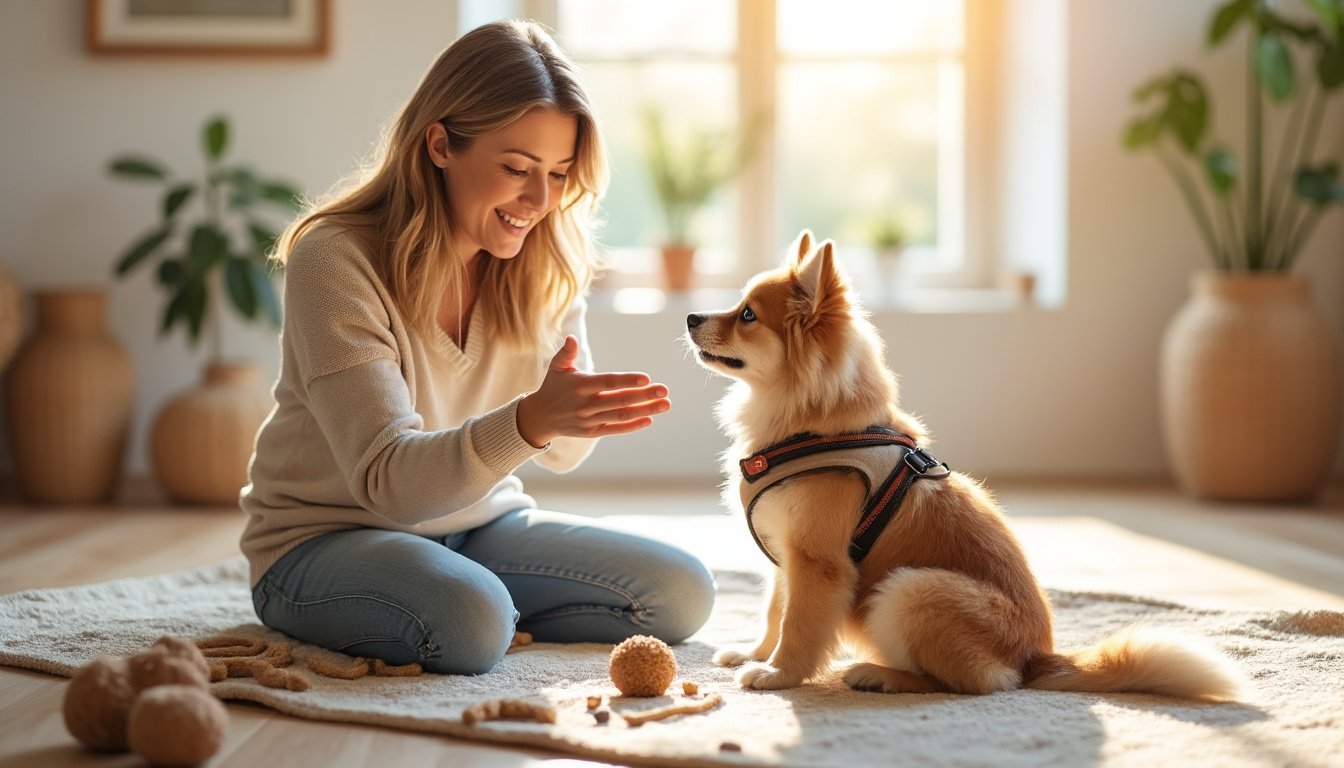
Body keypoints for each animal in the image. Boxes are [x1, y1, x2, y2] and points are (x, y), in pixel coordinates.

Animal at [688, 231, 1241, 699]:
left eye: (747, 315)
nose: (691, 317)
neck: (811, 428)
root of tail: (1036, 656)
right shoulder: (785, 556)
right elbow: (774, 610)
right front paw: (753, 653)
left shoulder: (817, 563)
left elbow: (798, 624)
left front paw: (778, 674)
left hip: (909, 589)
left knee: (970, 684)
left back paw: (879, 675)